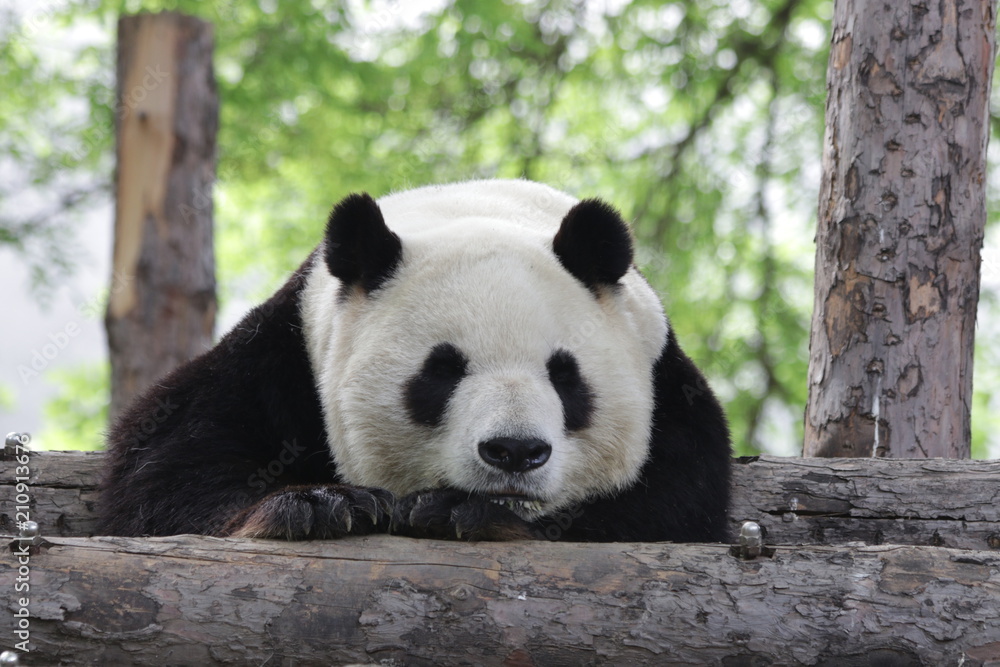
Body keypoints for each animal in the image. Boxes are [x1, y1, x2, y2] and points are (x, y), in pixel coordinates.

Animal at [97, 180, 732, 544]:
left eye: (565, 376)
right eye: (442, 371)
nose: (515, 452)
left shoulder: (661, 370)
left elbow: (671, 504)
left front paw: (462, 512)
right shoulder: (286, 350)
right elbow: (172, 464)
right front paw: (323, 504)